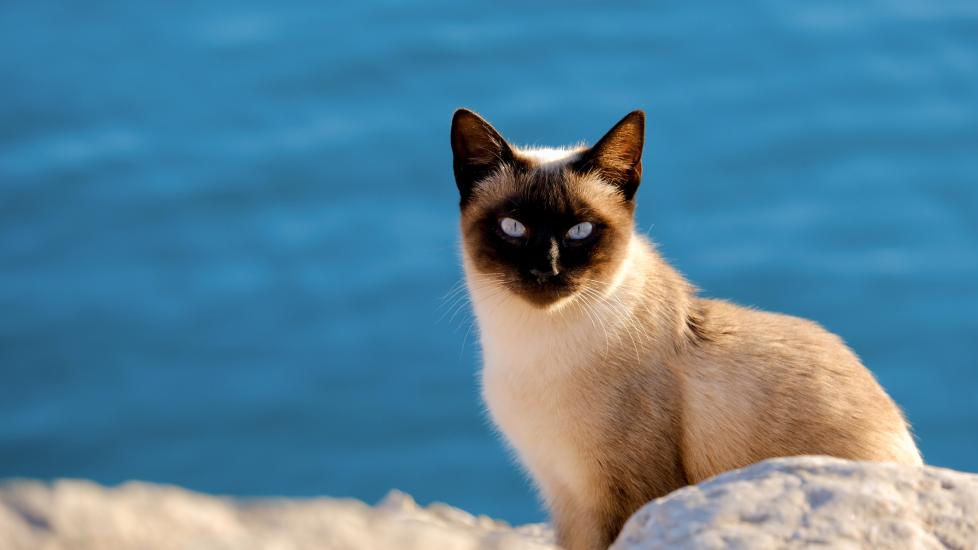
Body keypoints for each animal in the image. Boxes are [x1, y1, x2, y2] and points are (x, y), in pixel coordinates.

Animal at [450, 109, 924, 550]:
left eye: (579, 232)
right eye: (513, 228)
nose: (544, 271)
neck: (533, 345)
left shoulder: (621, 496)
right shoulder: (565, 495)